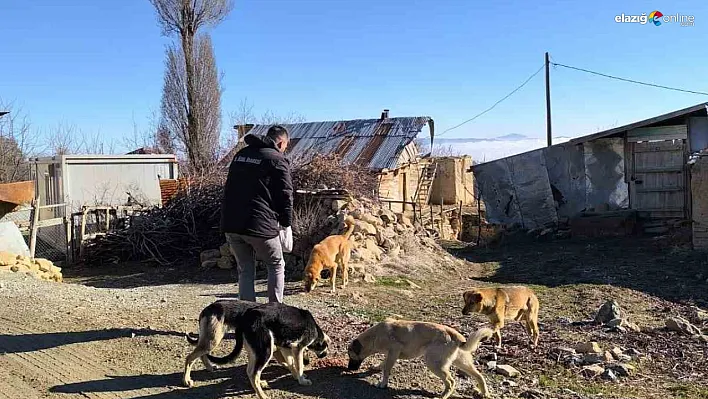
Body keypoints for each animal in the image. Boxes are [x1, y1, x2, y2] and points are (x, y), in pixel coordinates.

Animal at [348, 318, 492, 399]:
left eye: (351, 357)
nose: (349, 369)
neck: (374, 336)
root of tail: (455, 336)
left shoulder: (394, 351)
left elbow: (387, 370)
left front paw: (383, 384)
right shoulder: (391, 354)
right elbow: (384, 364)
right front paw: (377, 367)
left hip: (433, 363)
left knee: (451, 382)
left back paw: (443, 396)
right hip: (461, 362)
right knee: (479, 375)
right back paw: (484, 393)